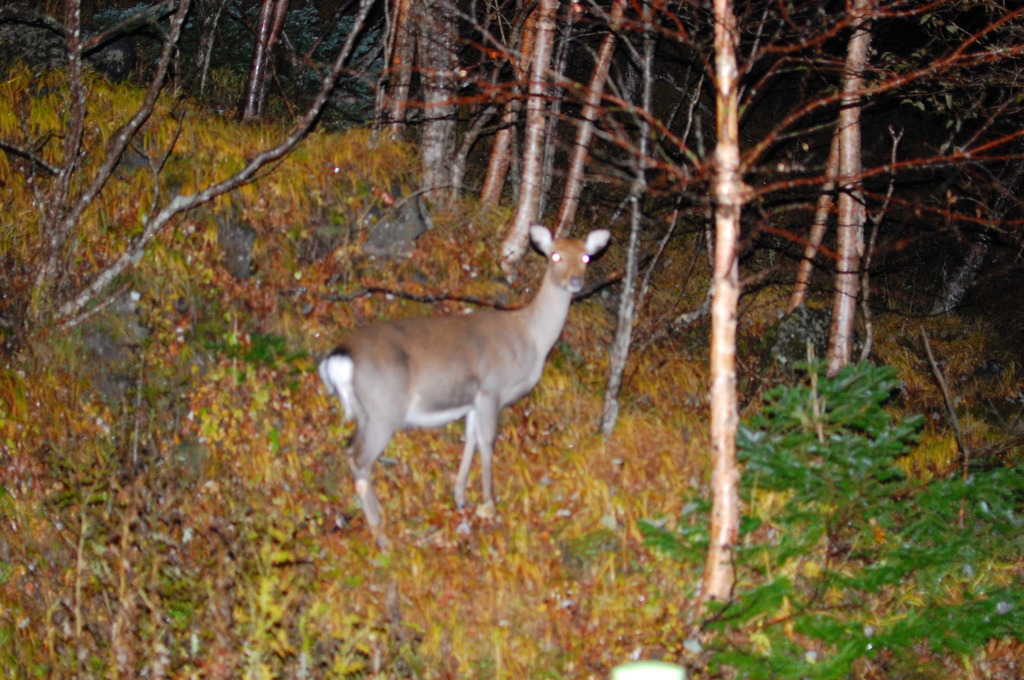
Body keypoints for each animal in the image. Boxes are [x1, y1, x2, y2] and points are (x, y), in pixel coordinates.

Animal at [319, 225, 606, 548]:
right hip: (385, 408)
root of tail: (340, 357)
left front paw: (460, 498)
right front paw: (490, 505)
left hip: (365, 412)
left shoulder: (472, 400)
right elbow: (487, 442)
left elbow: (470, 439)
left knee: (350, 451)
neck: (532, 339)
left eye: (585, 256)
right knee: (360, 460)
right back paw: (381, 535)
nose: (575, 281)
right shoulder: (491, 388)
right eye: (555, 255)